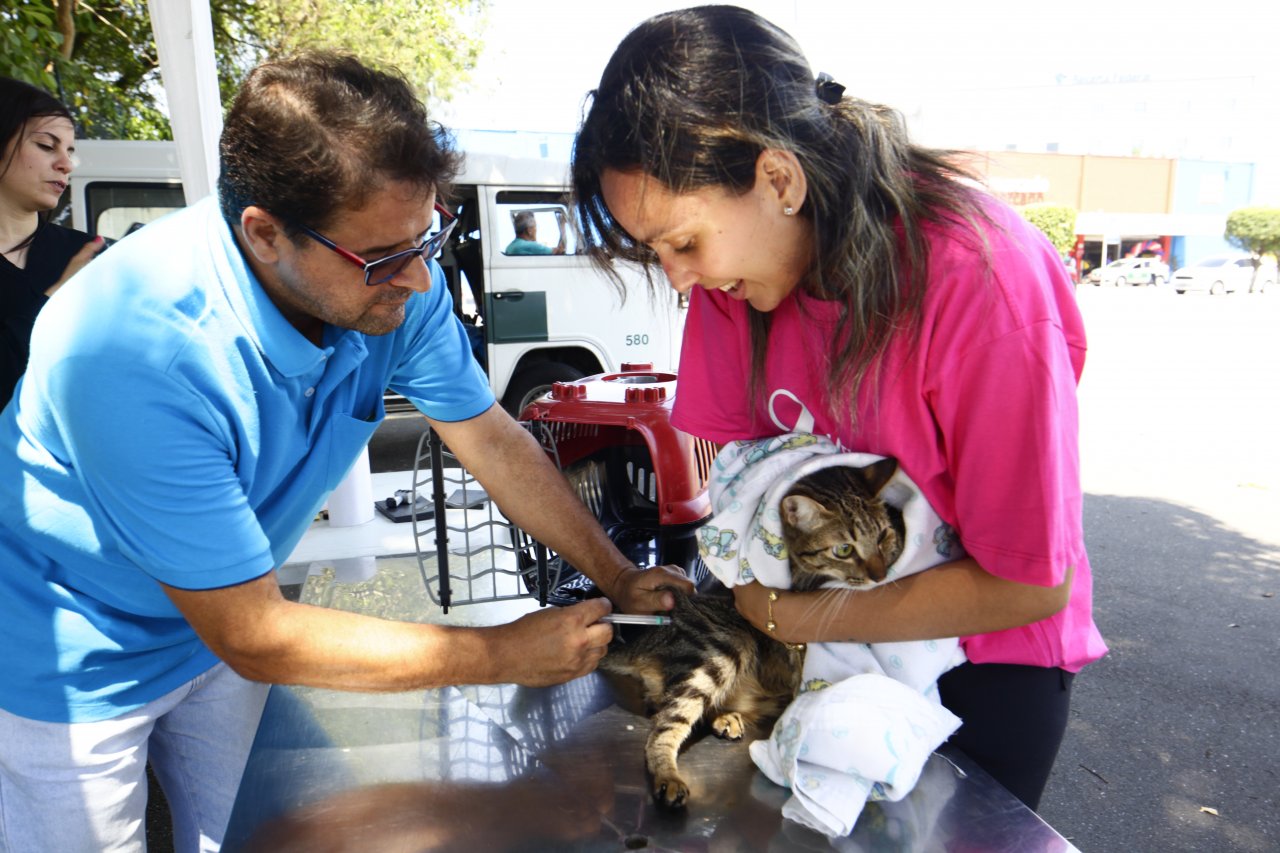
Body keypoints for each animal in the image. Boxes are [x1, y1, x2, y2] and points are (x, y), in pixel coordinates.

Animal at [596, 450, 906, 804]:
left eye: (883, 536)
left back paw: (726, 717)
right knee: (663, 725)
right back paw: (669, 777)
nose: (880, 576)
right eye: (844, 549)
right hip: (727, 645)